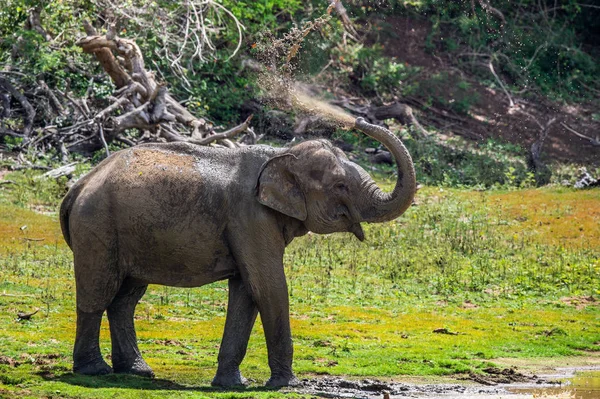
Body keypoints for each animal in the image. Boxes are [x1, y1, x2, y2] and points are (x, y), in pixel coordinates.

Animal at [61, 117, 414, 390]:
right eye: (340, 186)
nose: (357, 121)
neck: (279, 154)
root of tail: (78, 185)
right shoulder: (249, 217)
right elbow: (269, 286)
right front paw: (286, 385)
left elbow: (247, 290)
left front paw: (232, 384)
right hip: (98, 225)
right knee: (98, 292)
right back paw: (95, 371)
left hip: (130, 231)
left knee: (126, 298)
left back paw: (137, 371)